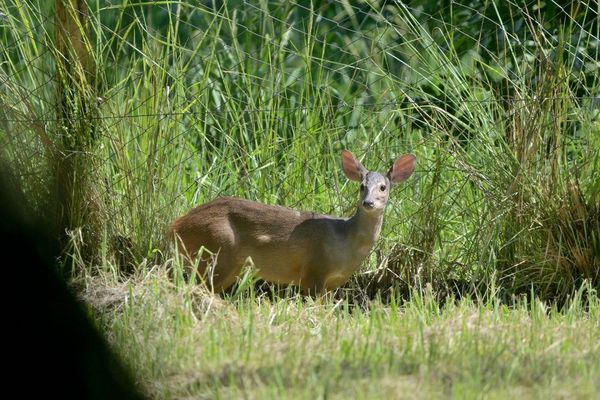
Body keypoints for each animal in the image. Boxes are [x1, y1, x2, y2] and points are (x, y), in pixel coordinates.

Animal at [166, 152, 414, 296]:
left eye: (383, 187)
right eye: (362, 186)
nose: (368, 202)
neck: (345, 241)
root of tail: (175, 226)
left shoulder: (333, 283)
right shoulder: (314, 270)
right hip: (217, 248)